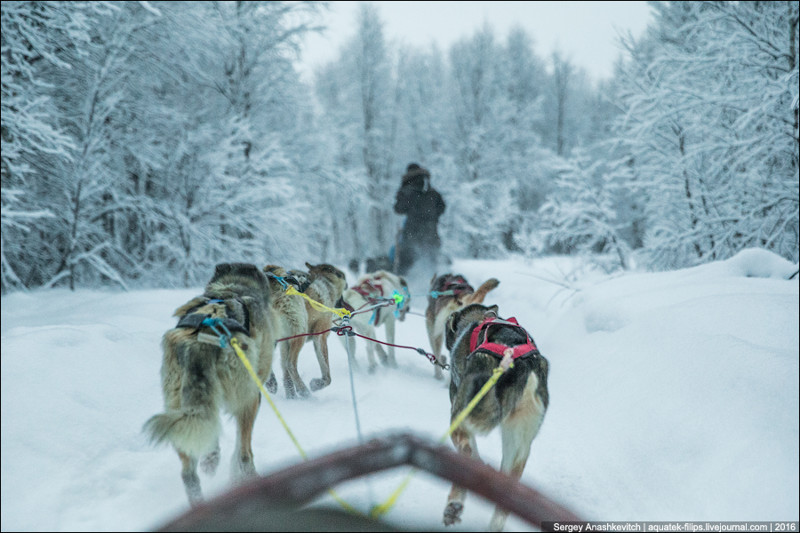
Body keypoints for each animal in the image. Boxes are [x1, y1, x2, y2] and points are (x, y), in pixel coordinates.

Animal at [144, 264, 278, 504]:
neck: (232, 286)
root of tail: (201, 338)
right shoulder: (253, 395)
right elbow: (239, 449)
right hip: (247, 398)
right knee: (243, 454)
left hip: (179, 408)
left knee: (189, 470)